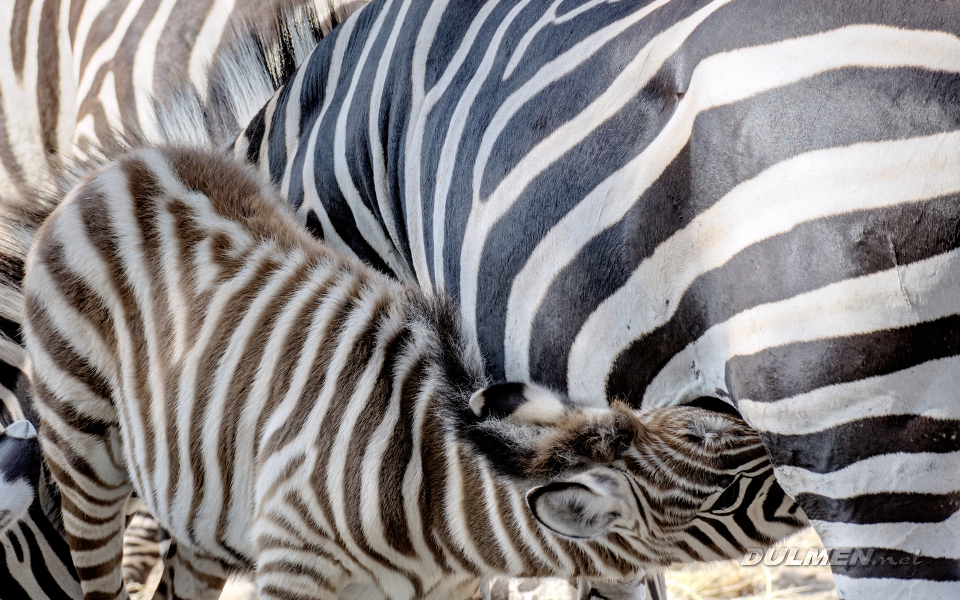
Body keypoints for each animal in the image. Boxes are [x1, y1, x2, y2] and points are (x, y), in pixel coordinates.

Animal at [20, 144, 772, 600]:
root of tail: (130, 162)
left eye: (706, 420)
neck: (432, 508)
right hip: (82, 447)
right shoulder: (294, 567)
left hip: (207, 492)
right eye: (726, 498)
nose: (782, 440)